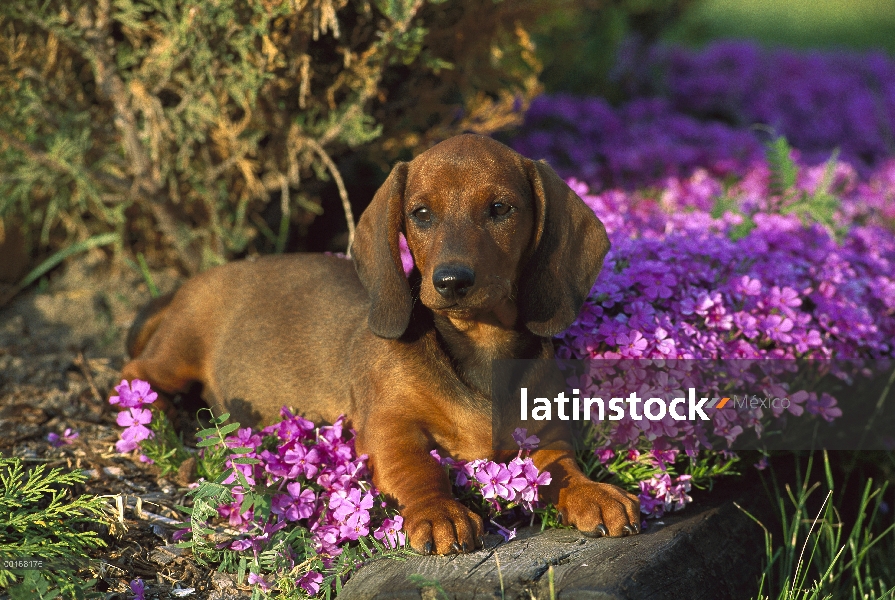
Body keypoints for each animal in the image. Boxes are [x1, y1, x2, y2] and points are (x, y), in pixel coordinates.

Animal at [124, 134, 644, 556]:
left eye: (501, 209)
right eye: (421, 214)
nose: (452, 281)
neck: (480, 346)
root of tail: (192, 282)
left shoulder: (546, 433)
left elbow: (562, 467)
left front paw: (593, 492)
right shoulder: (386, 429)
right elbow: (419, 469)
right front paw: (440, 512)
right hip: (176, 354)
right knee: (135, 374)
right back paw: (158, 416)